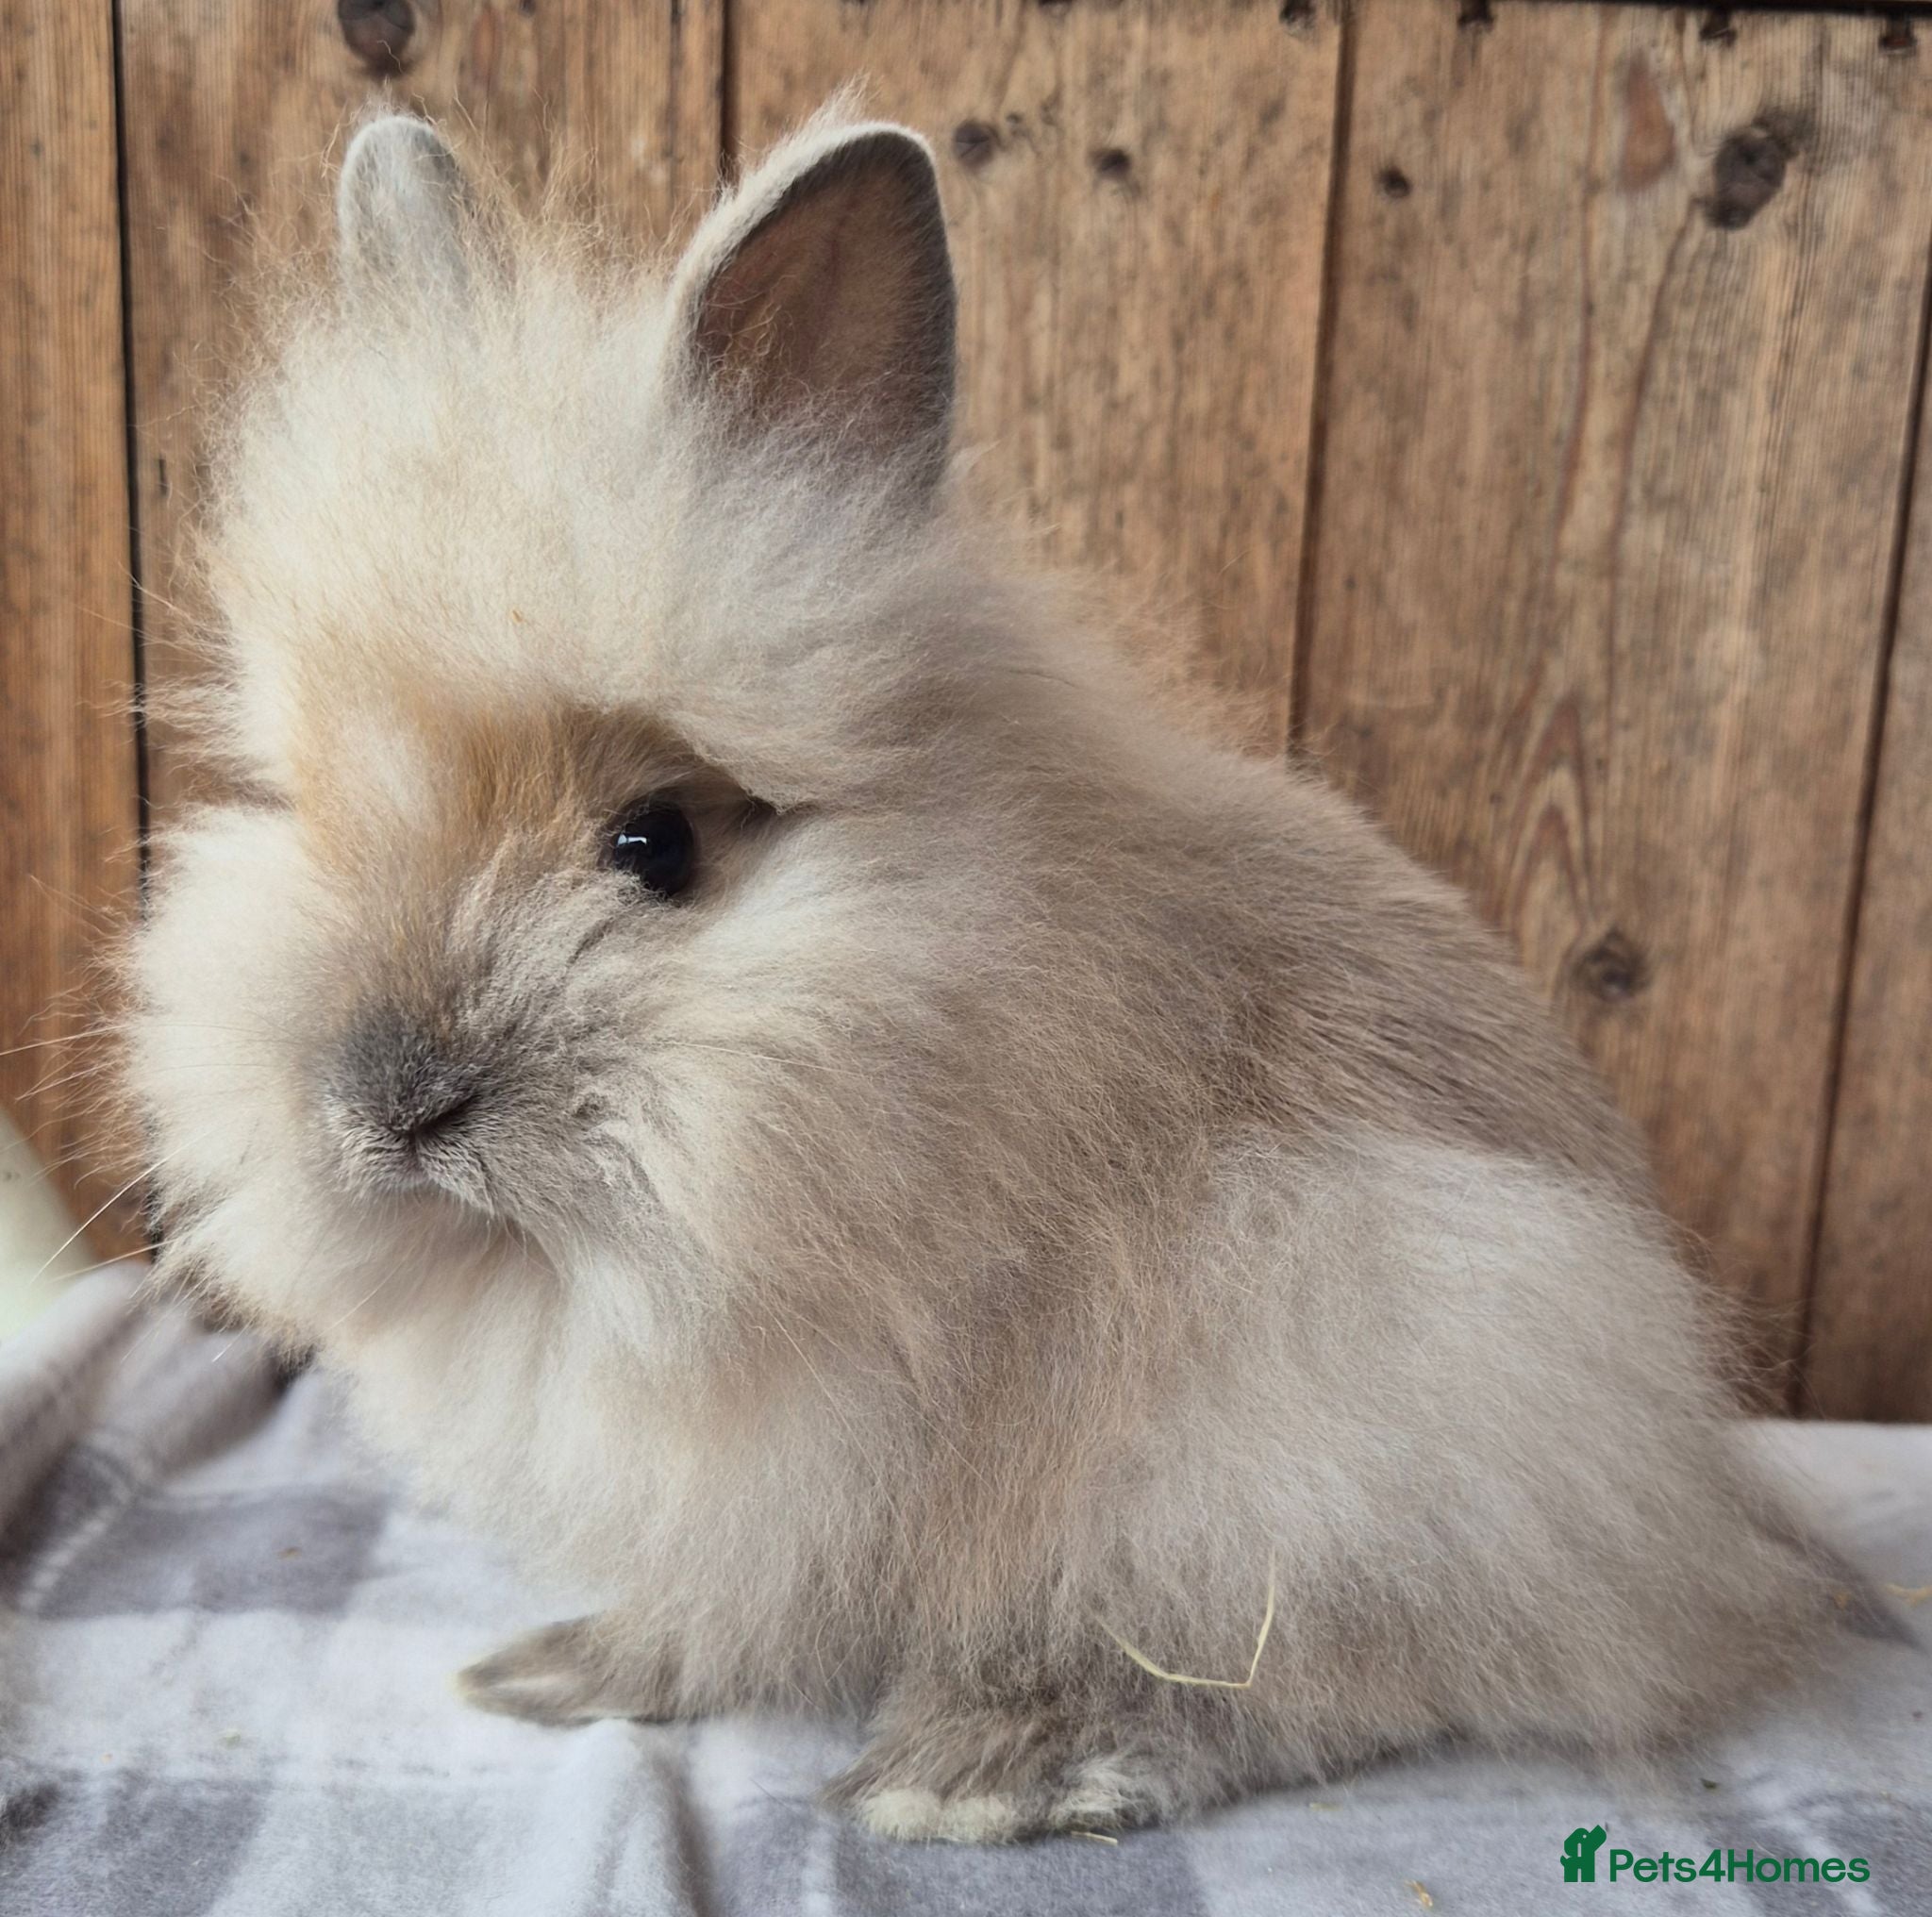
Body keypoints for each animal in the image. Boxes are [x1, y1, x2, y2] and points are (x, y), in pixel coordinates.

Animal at [122, 105, 1823, 1843]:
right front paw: (553, 1669)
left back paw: (995, 1763)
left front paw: (567, 1675)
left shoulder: (811, 1459)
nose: (389, 1104)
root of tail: (1694, 1505)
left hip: (1360, 1374)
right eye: (323, 807)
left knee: (1349, 1669)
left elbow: (740, 1611)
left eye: (657, 845)